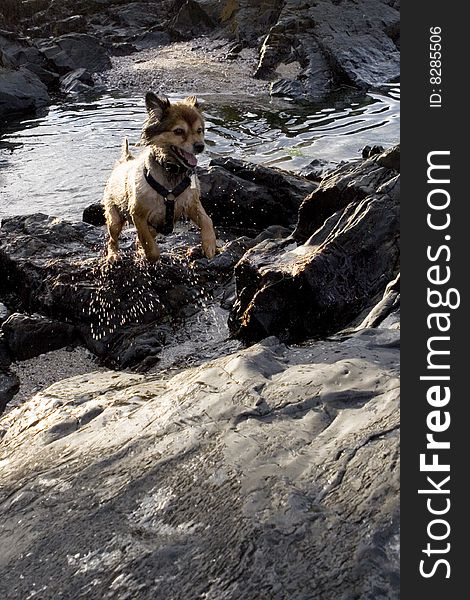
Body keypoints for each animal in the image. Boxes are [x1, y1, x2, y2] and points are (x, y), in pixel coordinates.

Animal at [103, 92, 217, 262]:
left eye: (200, 130)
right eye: (178, 131)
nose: (200, 146)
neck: (171, 170)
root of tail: (124, 161)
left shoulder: (191, 204)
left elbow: (207, 220)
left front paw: (209, 244)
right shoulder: (138, 215)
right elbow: (149, 245)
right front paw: (149, 255)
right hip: (115, 219)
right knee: (113, 239)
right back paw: (113, 254)